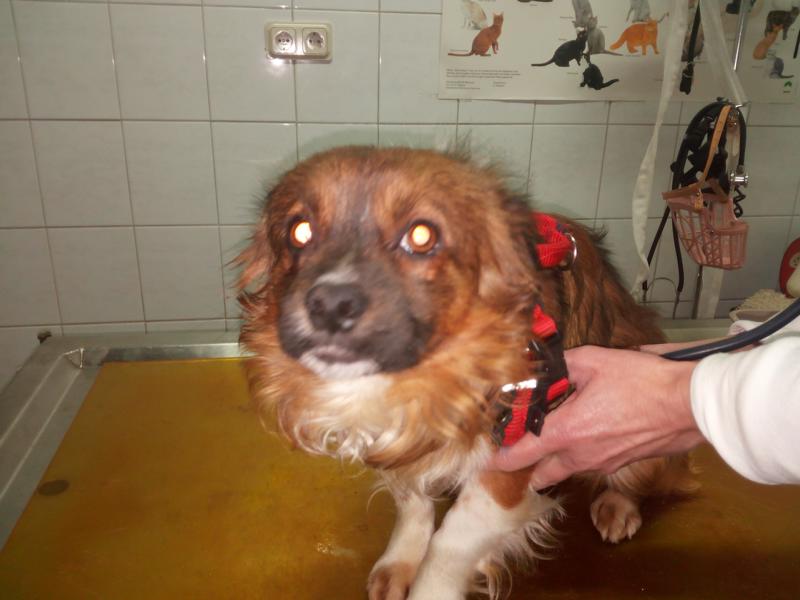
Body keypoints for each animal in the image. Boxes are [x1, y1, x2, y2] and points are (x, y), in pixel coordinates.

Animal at [236, 147, 694, 600]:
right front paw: (401, 561)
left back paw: (618, 507)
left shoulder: (512, 457)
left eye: (421, 236)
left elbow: (452, 542)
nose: (331, 304)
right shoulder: (396, 444)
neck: (416, 381)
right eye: (299, 231)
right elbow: (413, 504)